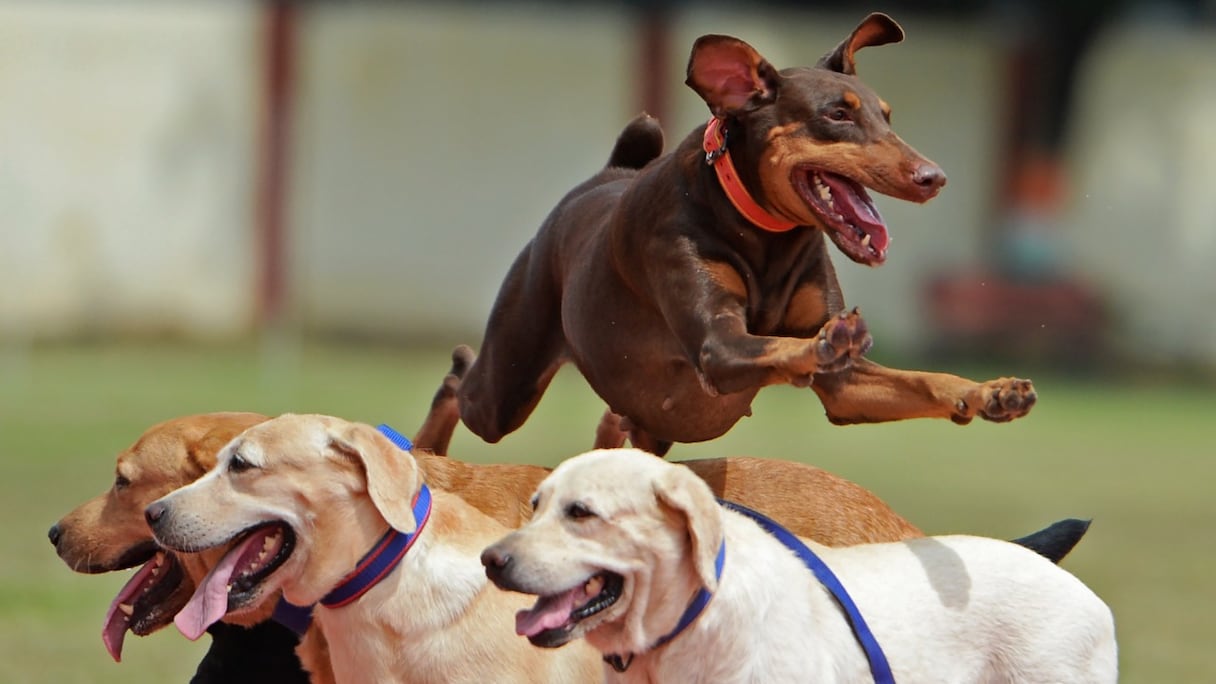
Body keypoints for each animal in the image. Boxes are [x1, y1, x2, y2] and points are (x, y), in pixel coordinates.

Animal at [457, 10, 1036, 455]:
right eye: (837, 115)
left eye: (886, 116)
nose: (933, 177)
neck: (767, 235)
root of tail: (607, 174)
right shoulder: (719, 344)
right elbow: (780, 345)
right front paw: (827, 343)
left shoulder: (846, 386)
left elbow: (918, 379)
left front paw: (991, 392)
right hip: (506, 384)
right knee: (459, 383)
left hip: (644, 425)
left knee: (610, 435)